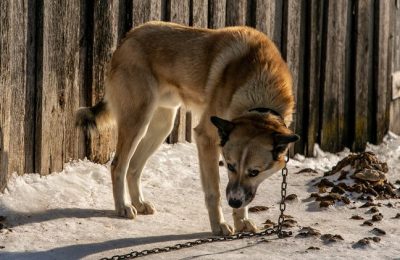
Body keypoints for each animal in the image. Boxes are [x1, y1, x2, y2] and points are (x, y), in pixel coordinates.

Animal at [76, 21, 298, 237]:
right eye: (230, 166)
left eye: (254, 172)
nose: (234, 201)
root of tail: (128, 37)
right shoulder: (206, 138)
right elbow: (215, 191)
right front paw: (219, 225)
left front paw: (241, 220)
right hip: (137, 121)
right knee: (118, 166)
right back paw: (123, 206)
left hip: (162, 126)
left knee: (133, 167)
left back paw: (138, 203)